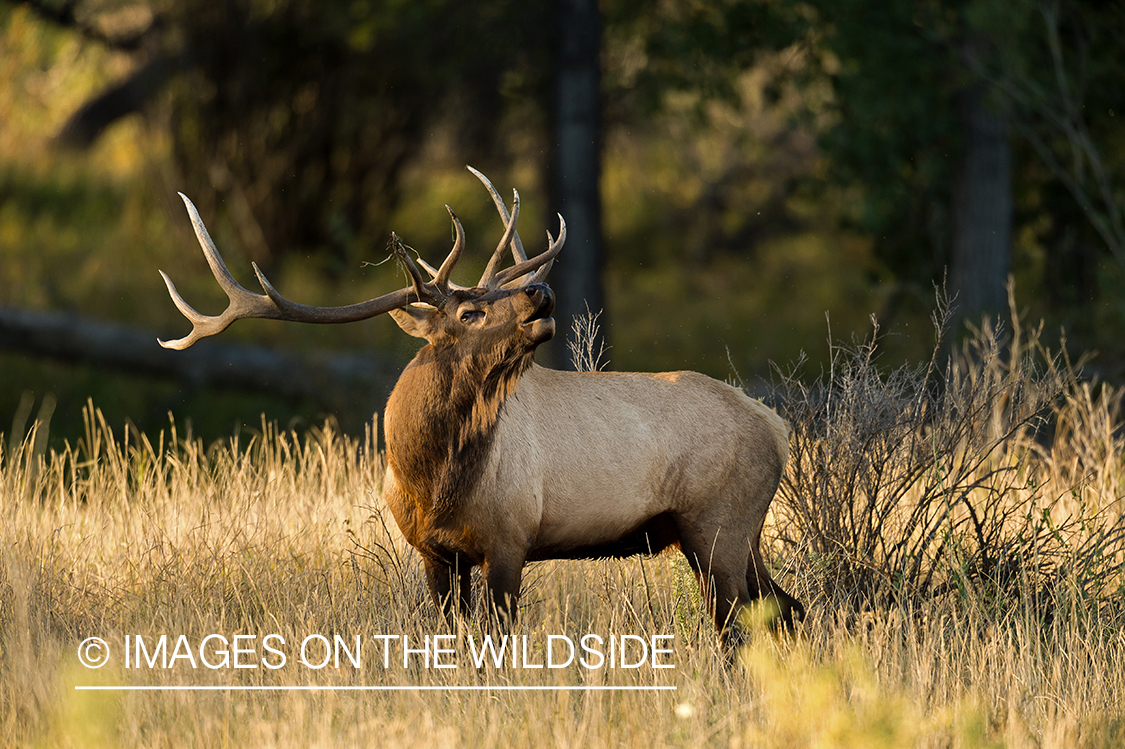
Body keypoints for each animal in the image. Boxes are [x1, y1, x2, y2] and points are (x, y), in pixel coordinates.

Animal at [160, 166, 810, 643]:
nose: (540, 290)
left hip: (719, 522)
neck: (431, 480)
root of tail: (776, 425)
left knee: (742, 624)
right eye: (470, 310)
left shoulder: (510, 538)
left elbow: (498, 640)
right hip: (733, 532)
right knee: (786, 609)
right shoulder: (434, 553)